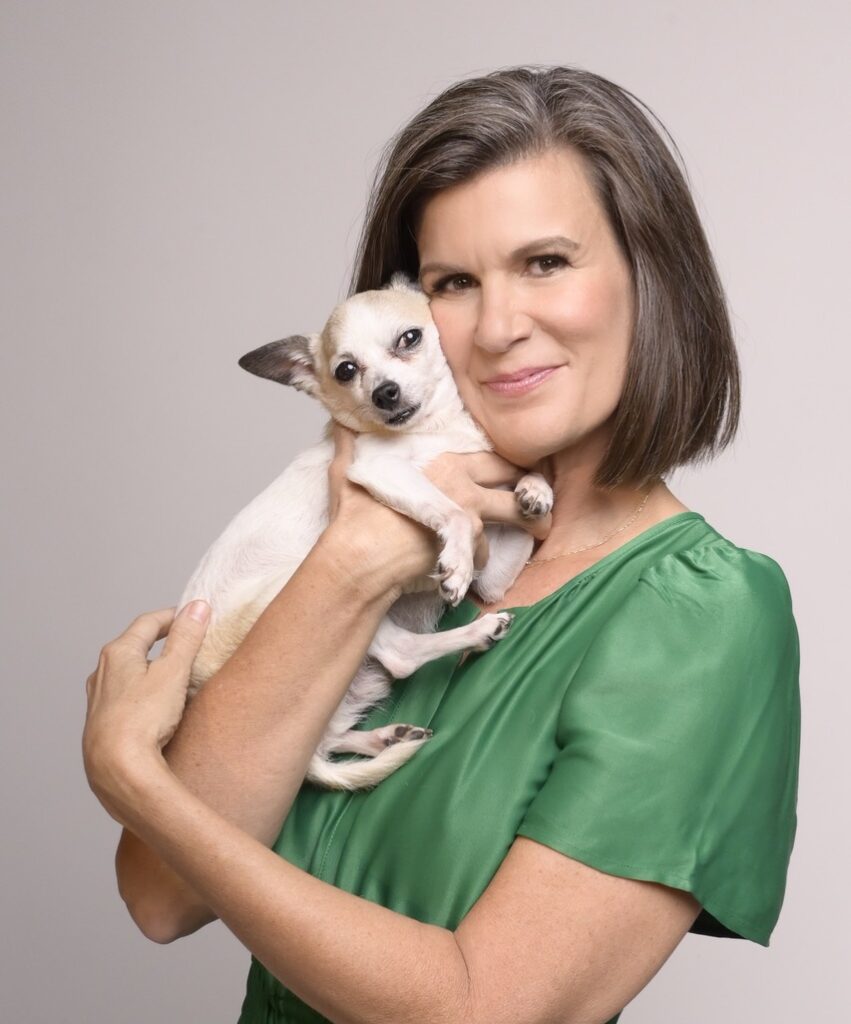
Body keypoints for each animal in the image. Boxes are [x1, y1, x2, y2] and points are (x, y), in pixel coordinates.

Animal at [174, 272, 553, 791]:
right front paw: (456, 560)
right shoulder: (379, 469)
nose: (384, 392)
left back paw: (385, 738)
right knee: (401, 654)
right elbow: (453, 512)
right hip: (314, 586)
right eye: (346, 370)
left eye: (410, 338)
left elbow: (521, 502)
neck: (441, 430)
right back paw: (478, 632)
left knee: (328, 741)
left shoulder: (494, 574)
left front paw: (536, 487)